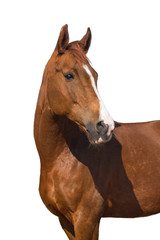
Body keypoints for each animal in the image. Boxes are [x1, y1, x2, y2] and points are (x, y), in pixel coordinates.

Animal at [34, 24, 160, 240]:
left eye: (95, 75)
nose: (105, 126)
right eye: (69, 75)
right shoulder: (65, 221)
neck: (63, 158)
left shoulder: (87, 220)